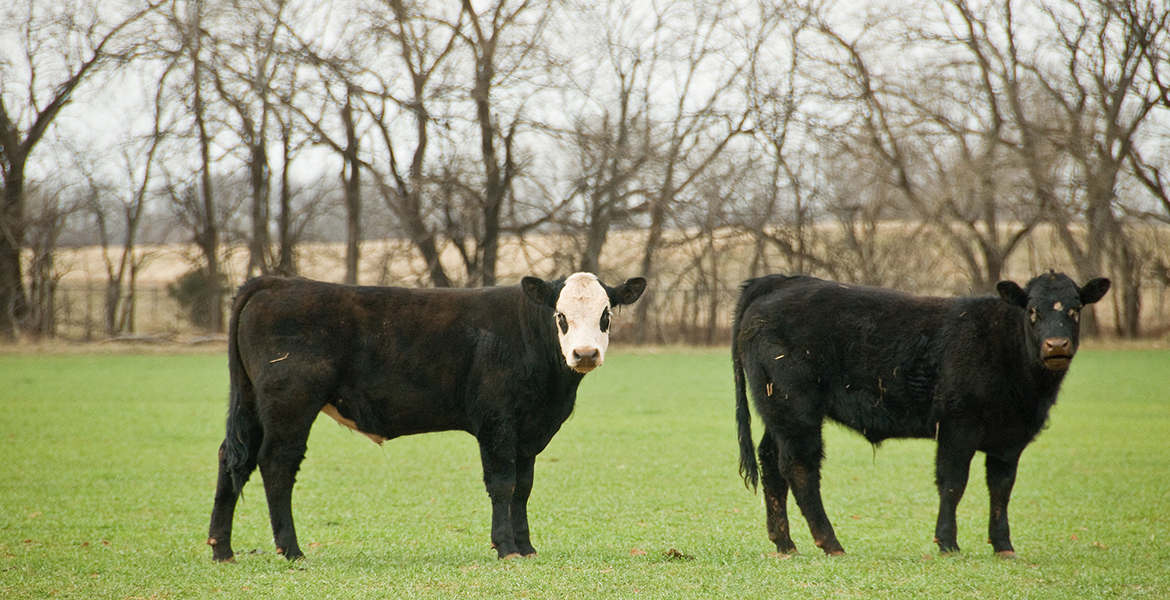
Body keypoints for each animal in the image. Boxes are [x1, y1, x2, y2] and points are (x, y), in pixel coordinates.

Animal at [210, 271, 650, 561]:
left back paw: (222, 548)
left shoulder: (528, 432)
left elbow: (523, 487)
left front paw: (526, 547)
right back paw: (291, 549)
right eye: (560, 316)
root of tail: (276, 282)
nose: (585, 354)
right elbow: (503, 485)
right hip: (290, 404)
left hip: (252, 403)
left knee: (234, 457)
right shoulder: (497, 423)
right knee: (276, 464)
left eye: (606, 315)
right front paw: (506, 547)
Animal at [734, 271, 1109, 556]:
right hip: (796, 409)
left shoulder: (1010, 438)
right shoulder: (958, 425)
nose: (1056, 345)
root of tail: (782, 281)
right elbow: (953, 482)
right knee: (800, 468)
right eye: (1031, 310)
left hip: (776, 411)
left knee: (771, 463)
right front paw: (947, 542)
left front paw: (1003, 545)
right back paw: (830, 543)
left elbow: (1001, 488)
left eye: (1076, 309)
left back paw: (785, 543)